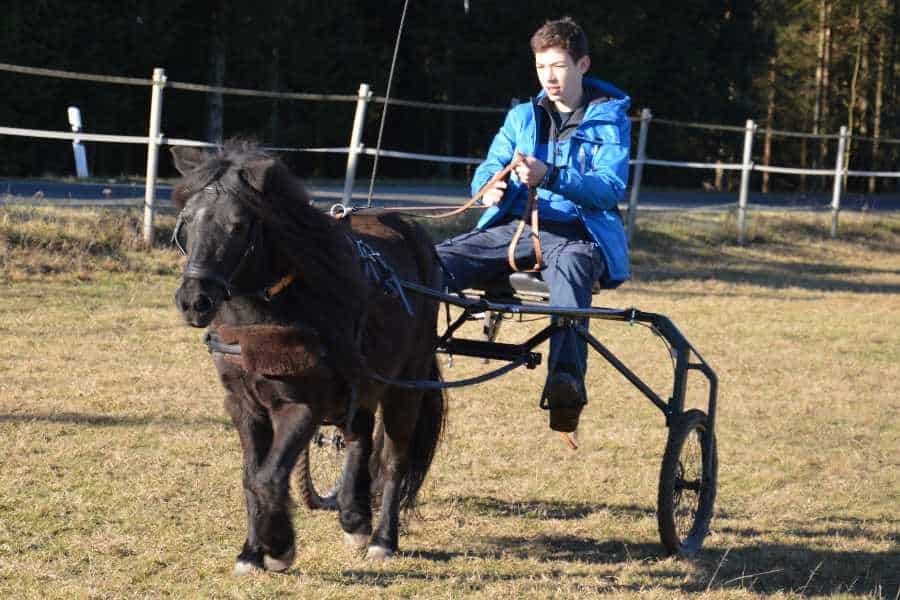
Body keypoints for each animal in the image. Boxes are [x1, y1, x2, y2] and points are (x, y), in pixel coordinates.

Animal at [171, 143, 444, 576]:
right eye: (186, 221)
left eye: (238, 226)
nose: (194, 301)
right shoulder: (243, 405)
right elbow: (251, 477)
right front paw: (251, 552)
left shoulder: (301, 405)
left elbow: (269, 477)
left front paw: (279, 547)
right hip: (363, 381)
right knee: (359, 438)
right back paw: (354, 517)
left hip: (406, 382)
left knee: (394, 459)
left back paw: (382, 538)